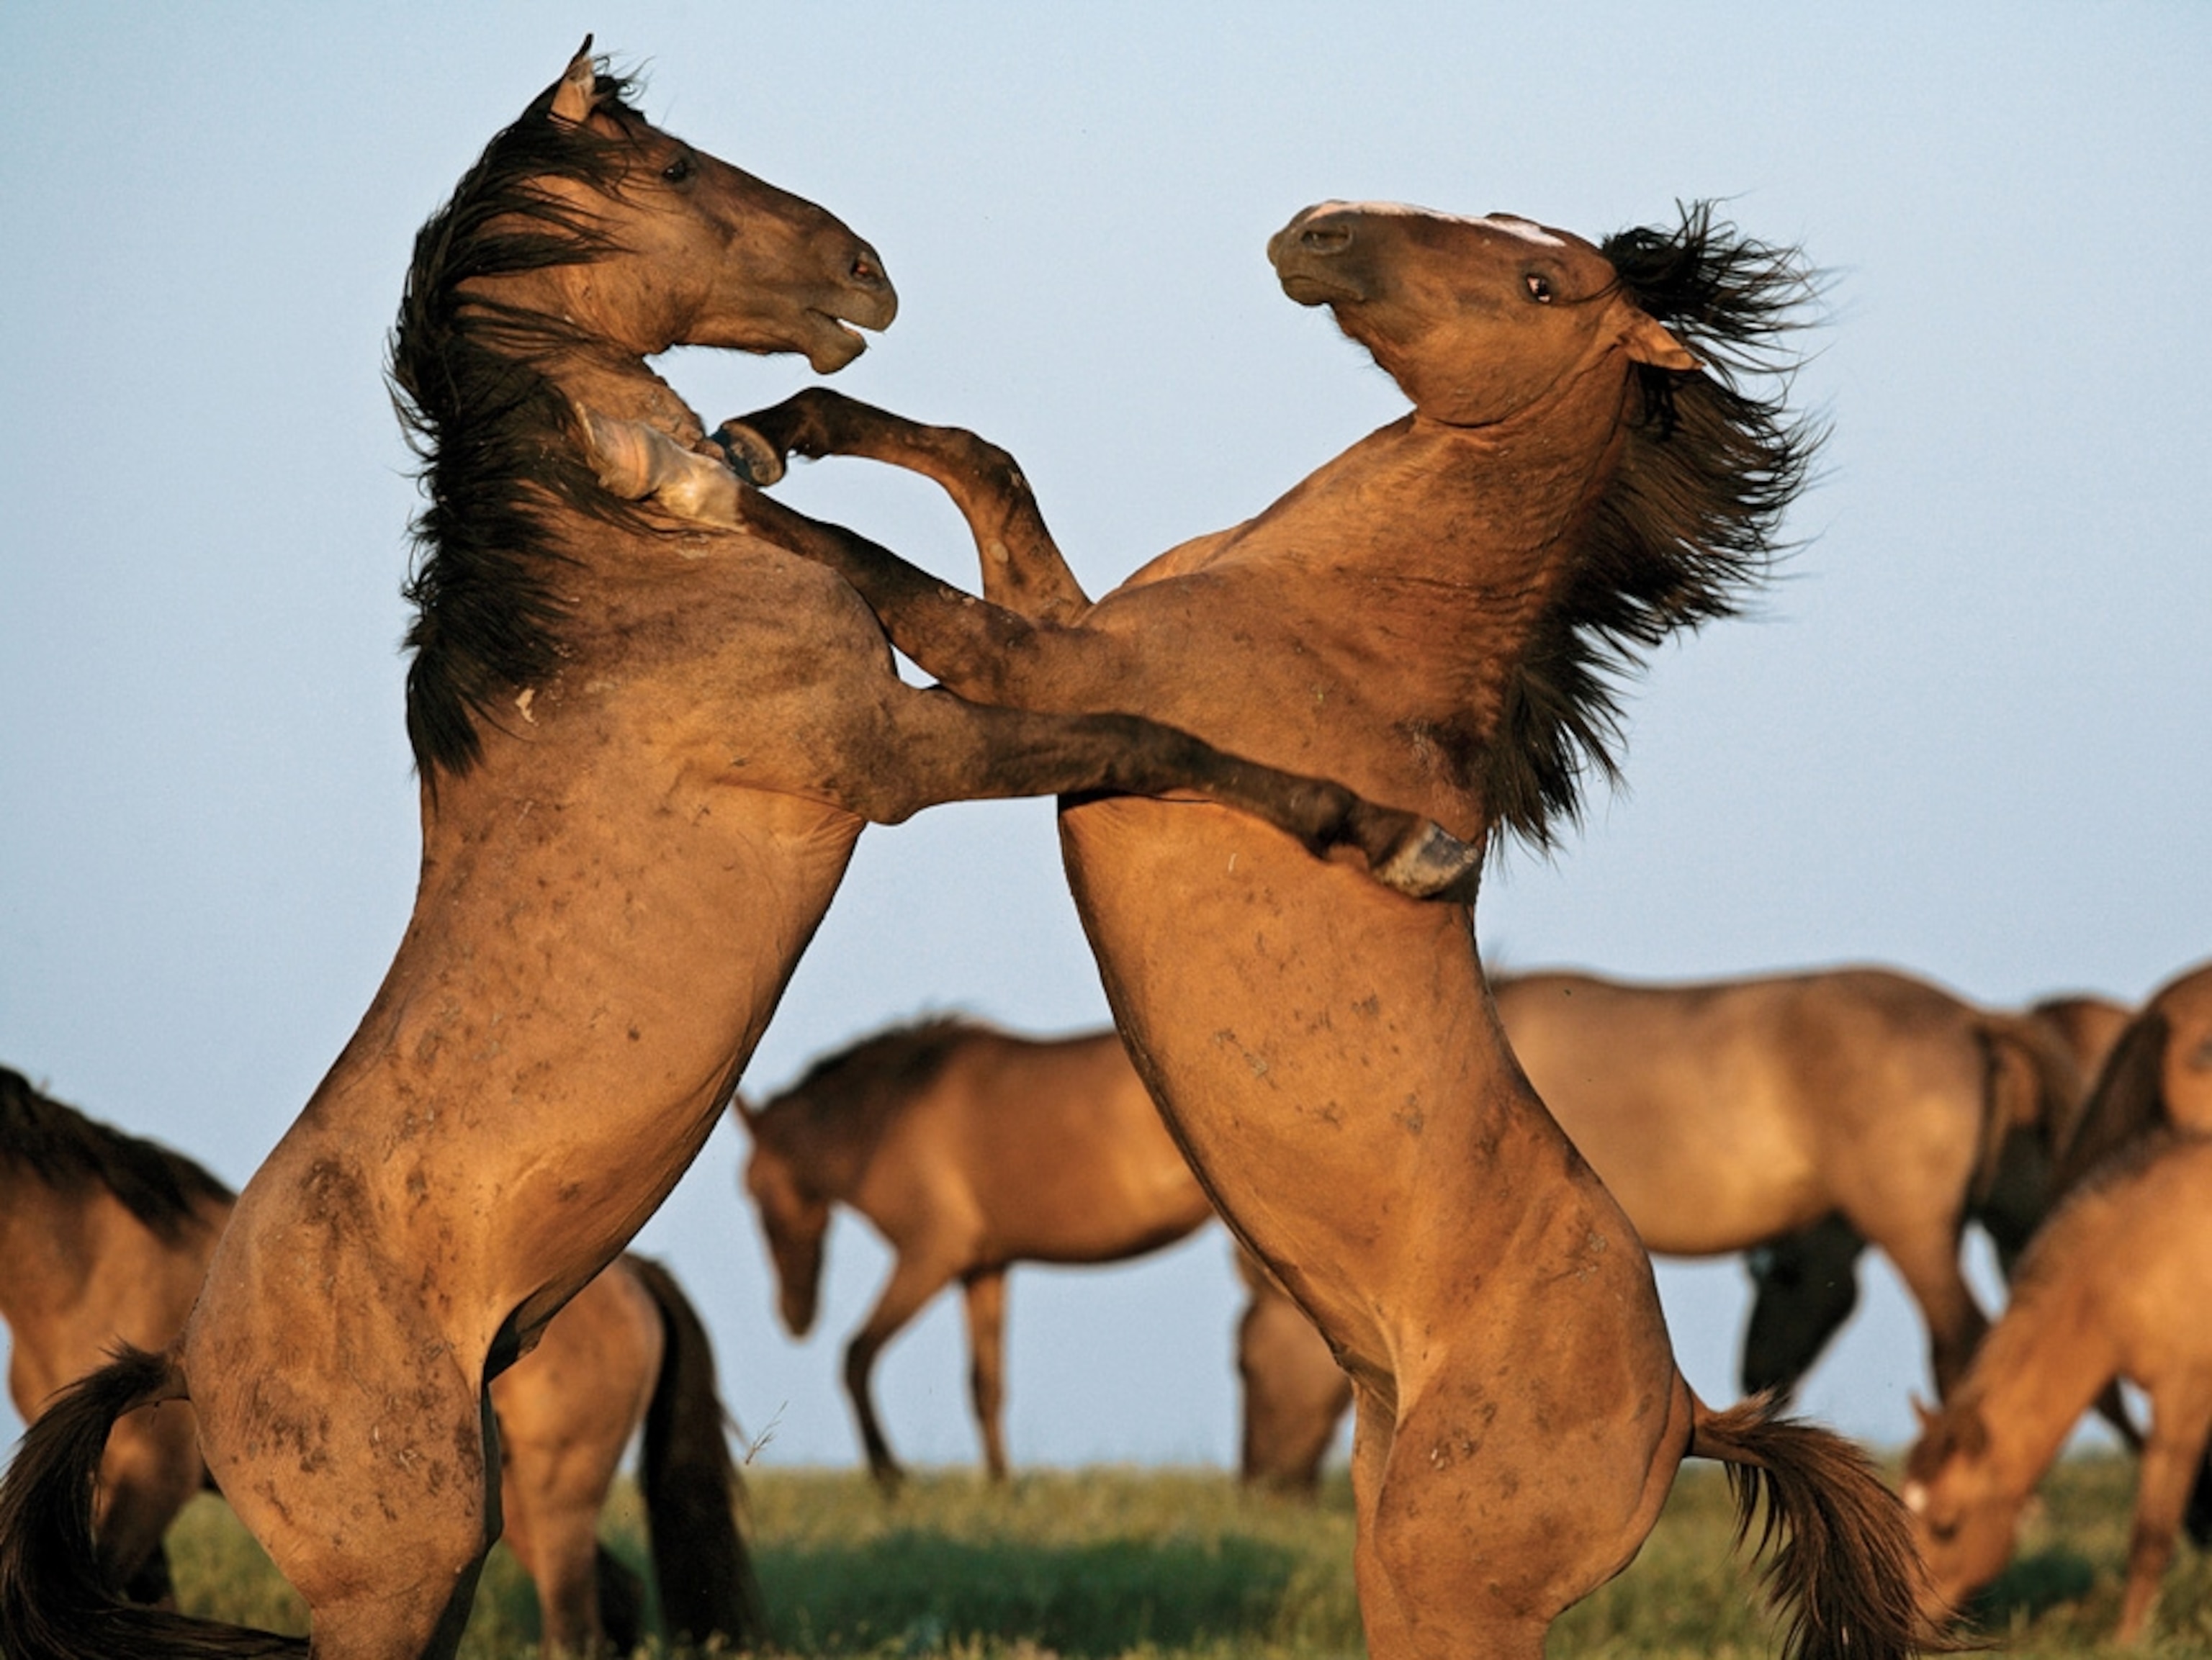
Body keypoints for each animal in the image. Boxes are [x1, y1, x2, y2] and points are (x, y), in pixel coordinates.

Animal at [0, 1066, 756, 1657]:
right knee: (614, 1595)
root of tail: (637, 1275)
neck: (96, 1268)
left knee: (576, 1622)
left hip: (560, 1487)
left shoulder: (155, 1478)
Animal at [736, 1017, 1215, 1489]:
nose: (794, 1318)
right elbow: (986, 1385)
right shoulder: (984, 1269)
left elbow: (857, 1356)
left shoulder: (930, 1256)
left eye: (752, 1190)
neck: (894, 1110)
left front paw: (889, 1474)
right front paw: (1001, 1486)